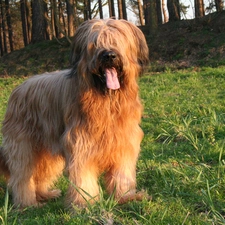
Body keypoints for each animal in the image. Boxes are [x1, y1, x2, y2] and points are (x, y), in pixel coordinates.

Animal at [0, 18, 149, 208]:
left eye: (117, 41)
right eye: (96, 43)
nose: (109, 55)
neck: (107, 100)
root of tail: (18, 88)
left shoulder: (124, 141)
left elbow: (122, 173)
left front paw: (126, 197)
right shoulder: (81, 143)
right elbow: (83, 175)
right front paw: (86, 203)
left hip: (47, 148)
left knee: (42, 171)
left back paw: (45, 194)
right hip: (23, 144)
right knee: (22, 175)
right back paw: (27, 203)